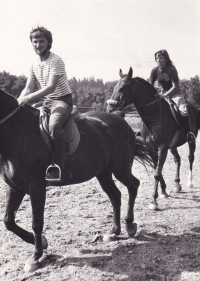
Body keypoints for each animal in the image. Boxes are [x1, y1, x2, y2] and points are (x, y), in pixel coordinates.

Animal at [0, 88, 152, 270]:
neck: (19, 132)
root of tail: (121, 121)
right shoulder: (14, 187)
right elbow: (8, 221)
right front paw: (42, 243)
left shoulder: (37, 187)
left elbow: (36, 222)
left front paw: (36, 256)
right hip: (103, 172)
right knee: (115, 195)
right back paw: (114, 231)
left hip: (120, 168)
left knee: (133, 186)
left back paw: (129, 225)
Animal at [108, 67, 200, 208]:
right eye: (114, 87)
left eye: (122, 88)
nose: (110, 109)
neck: (155, 116)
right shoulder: (151, 148)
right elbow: (157, 170)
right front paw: (163, 192)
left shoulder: (162, 147)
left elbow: (157, 173)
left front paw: (154, 200)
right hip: (172, 146)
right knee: (177, 159)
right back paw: (177, 184)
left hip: (191, 141)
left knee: (190, 158)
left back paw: (189, 183)